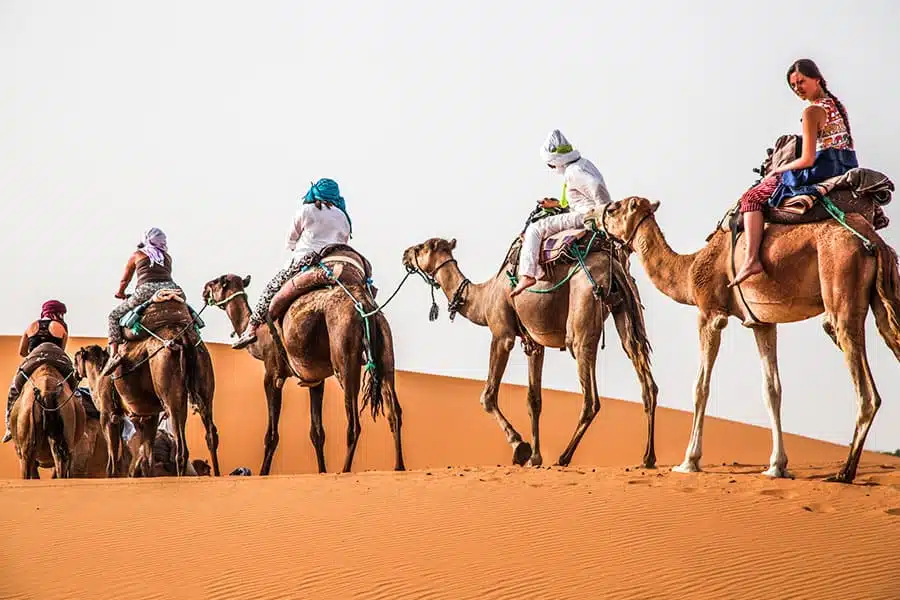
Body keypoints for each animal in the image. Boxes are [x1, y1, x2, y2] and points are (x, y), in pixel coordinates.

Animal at [80, 296, 221, 478]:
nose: (75, 371)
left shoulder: (108, 413)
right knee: (210, 433)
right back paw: (216, 474)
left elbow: (113, 462)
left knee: (181, 447)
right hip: (204, 377)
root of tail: (183, 338)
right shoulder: (148, 416)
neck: (98, 374)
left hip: (170, 388)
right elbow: (146, 459)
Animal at [204, 246, 404, 476]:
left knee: (354, 422)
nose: (204, 289)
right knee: (394, 411)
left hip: (344, 354)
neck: (259, 338)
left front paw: (263, 473)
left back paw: (345, 471)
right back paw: (399, 467)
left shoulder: (272, 373)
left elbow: (271, 435)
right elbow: (317, 433)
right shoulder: (316, 380)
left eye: (217, 281)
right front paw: (322, 472)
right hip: (384, 344)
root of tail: (362, 303)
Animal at [404, 234, 656, 468]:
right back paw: (648, 458)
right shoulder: (534, 344)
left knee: (590, 396)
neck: (484, 298)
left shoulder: (502, 334)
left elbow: (487, 396)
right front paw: (535, 457)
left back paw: (564, 457)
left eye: (421, 247)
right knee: (643, 372)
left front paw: (520, 447)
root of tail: (613, 269)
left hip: (583, 309)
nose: (405, 254)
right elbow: (534, 400)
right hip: (625, 307)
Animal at [584, 197, 900, 482]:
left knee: (866, 391)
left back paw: (844, 472)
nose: (591, 216)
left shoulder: (710, 314)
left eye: (614, 208)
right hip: (883, 298)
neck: (690, 269)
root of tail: (874, 242)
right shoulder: (762, 322)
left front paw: (689, 461)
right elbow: (772, 390)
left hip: (842, 293)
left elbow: (700, 387)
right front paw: (776, 466)